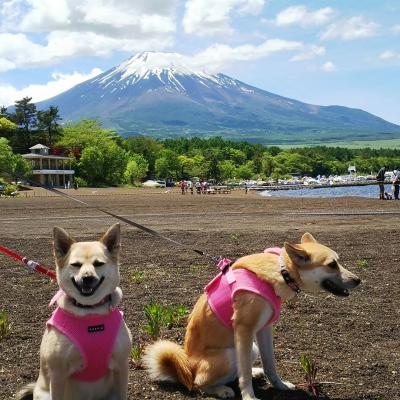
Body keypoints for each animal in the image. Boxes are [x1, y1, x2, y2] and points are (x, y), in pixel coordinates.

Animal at [145, 233, 362, 398]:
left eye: (338, 261)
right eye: (332, 264)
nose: (358, 280)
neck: (282, 272)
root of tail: (187, 367)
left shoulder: (264, 330)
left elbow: (270, 364)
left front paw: (279, 385)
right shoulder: (244, 330)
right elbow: (244, 376)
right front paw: (249, 396)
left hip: (253, 348)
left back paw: (255, 372)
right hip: (229, 354)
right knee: (199, 383)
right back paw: (221, 390)